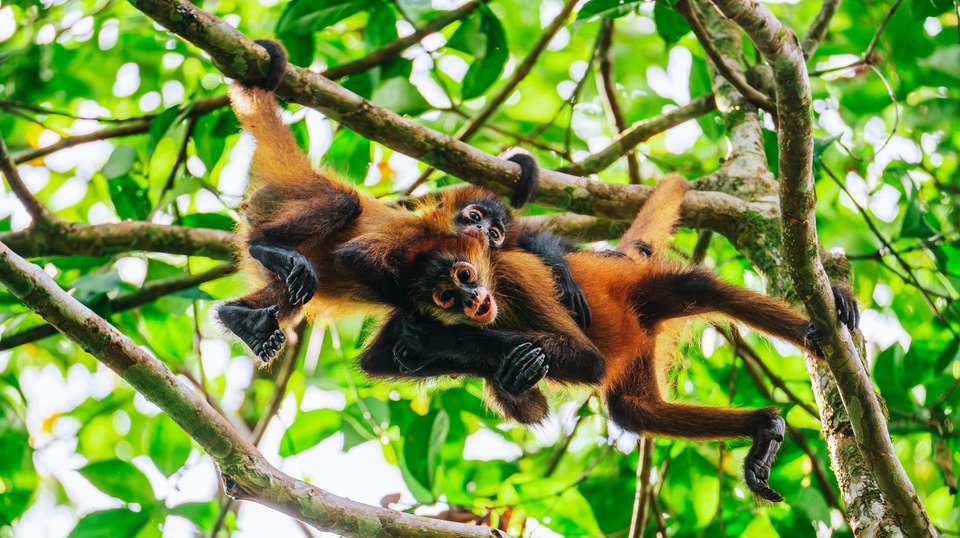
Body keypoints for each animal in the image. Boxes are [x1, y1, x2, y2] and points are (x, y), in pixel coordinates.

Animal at [360, 175, 860, 502]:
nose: (468, 300)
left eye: (466, 276)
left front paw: (440, 342)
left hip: (644, 288)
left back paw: (823, 322)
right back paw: (763, 426)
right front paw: (462, 357)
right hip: (639, 345)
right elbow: (380, 360)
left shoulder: (510, 270)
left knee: (696, 288)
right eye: (446, 292)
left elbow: (586, 361)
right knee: (633, 409)